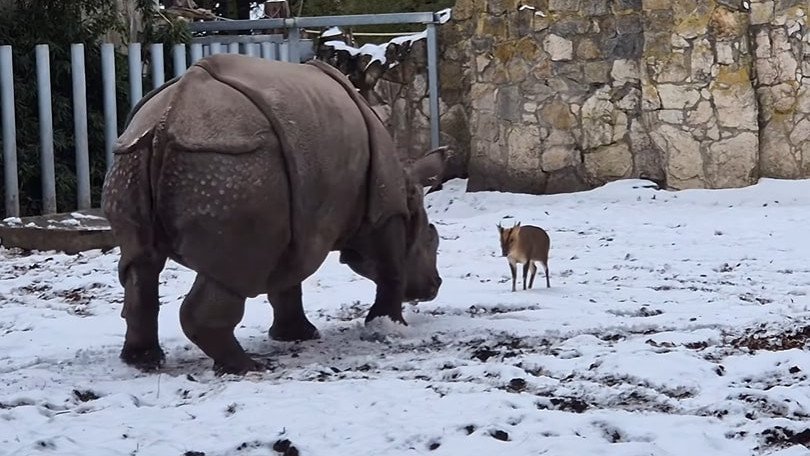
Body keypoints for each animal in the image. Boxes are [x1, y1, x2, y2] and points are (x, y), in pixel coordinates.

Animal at [102, 53, 448, 374]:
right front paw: (388, 328)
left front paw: (298, 336)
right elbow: (391, 269)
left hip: (135, 156)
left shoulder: (296, 226)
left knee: (140, 264)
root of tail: (169, 116)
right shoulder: (384, 213)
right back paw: (249, 367)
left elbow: (286, 283)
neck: (409, 194)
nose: (435, 286)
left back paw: (143, 362)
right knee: (231, 272)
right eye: (431, 241)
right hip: (232, 165)